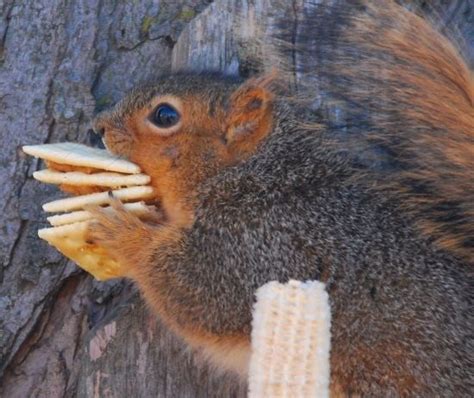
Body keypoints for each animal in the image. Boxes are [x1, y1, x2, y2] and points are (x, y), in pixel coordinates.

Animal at [82, 1, 474, 396]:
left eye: (165, 115)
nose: (98, 126)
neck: (253, 174)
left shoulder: (259, 248)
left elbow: (197, 292)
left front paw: (122, 230)